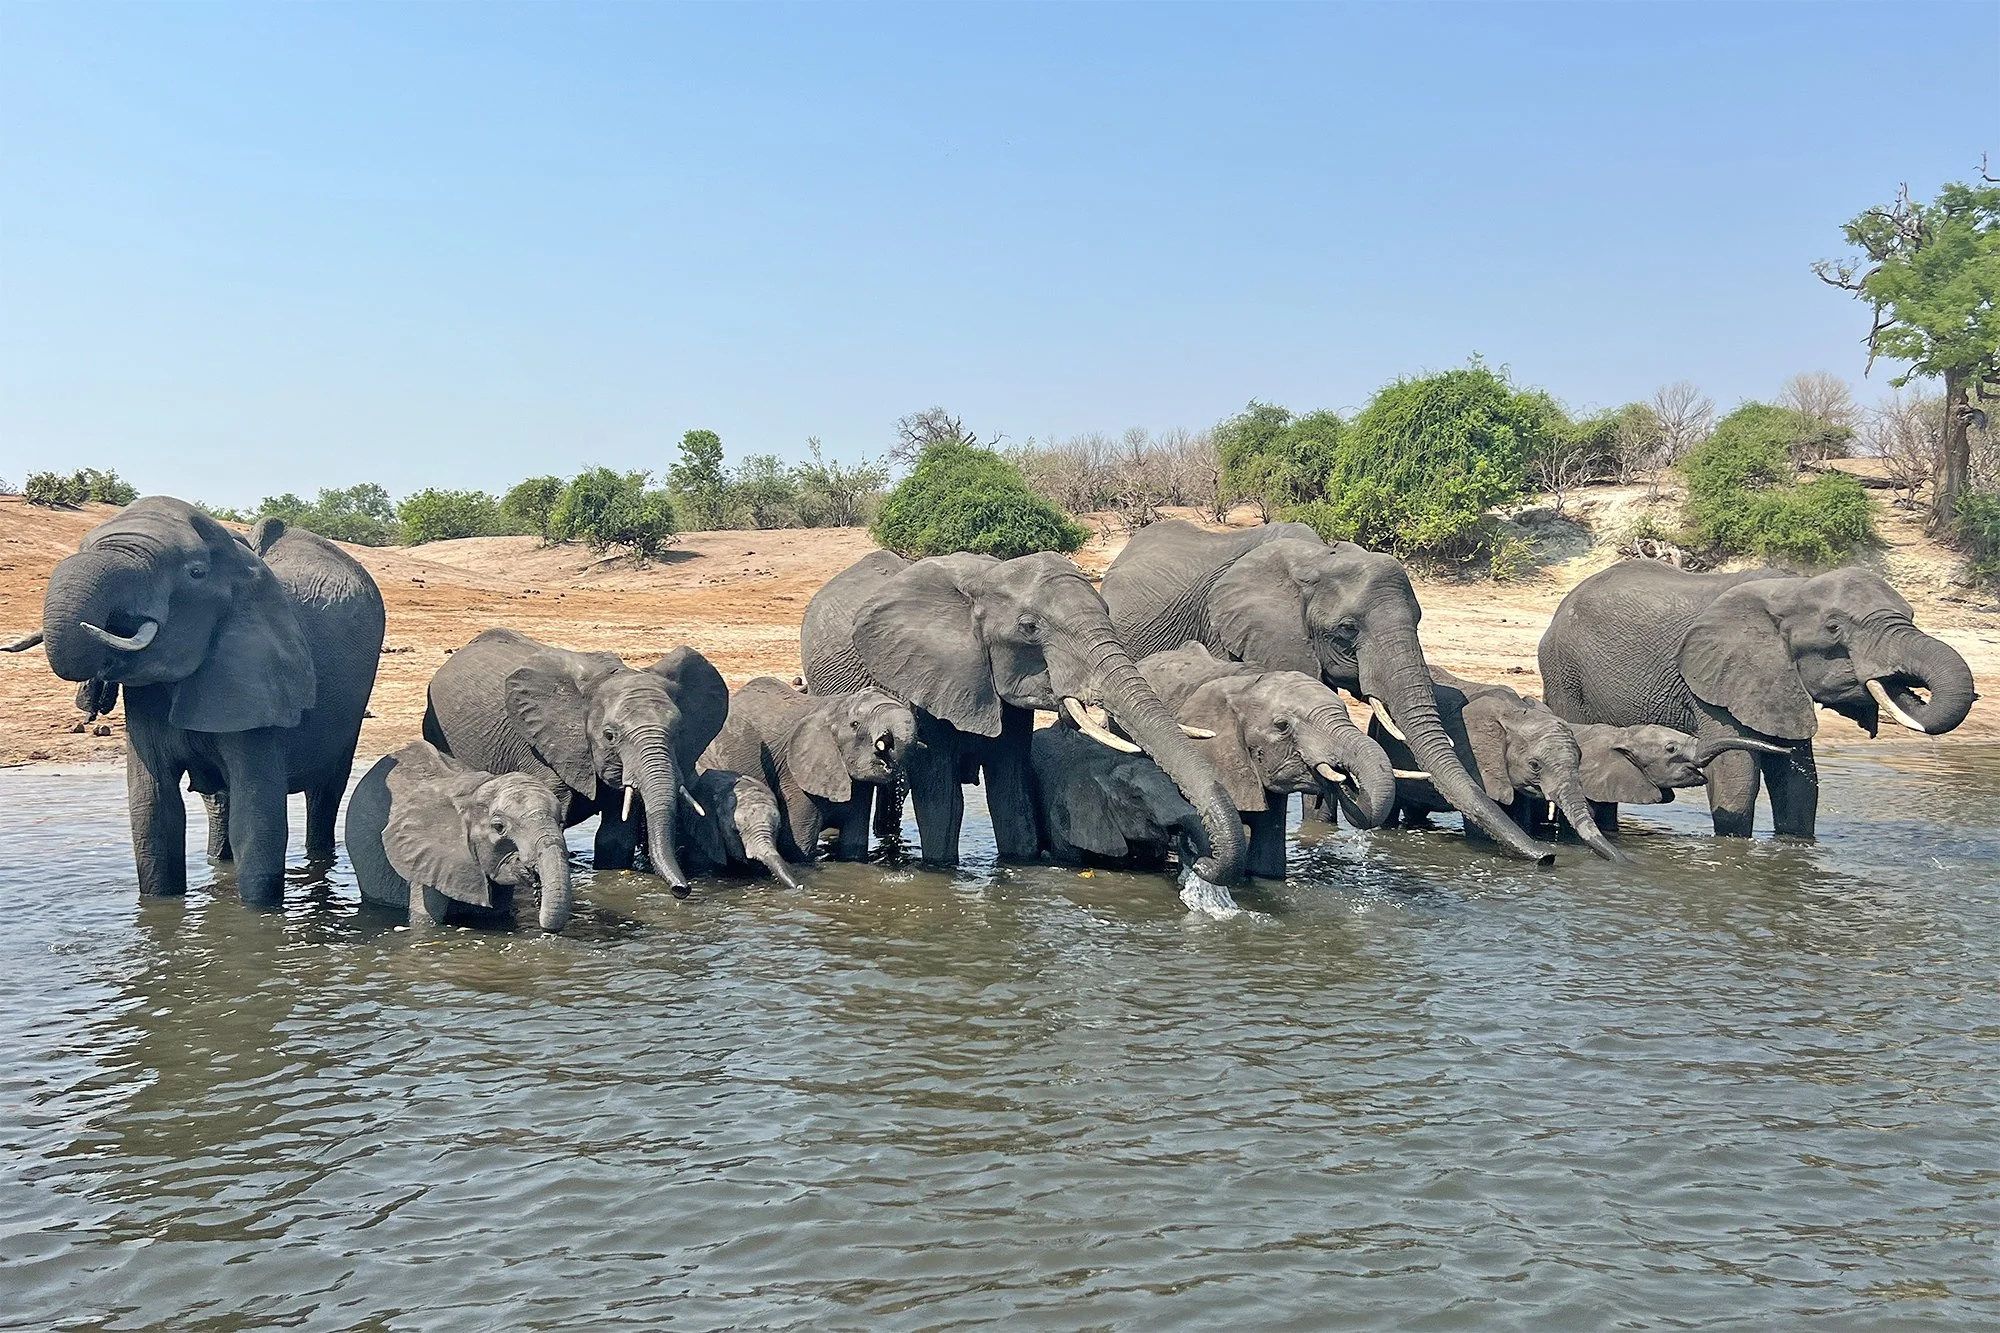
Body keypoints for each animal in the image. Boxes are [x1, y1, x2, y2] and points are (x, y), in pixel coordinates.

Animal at [3, 498, 384, 902]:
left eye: (196, 573)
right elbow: (154, 812)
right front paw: (159, 906)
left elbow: (257, 821)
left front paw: (257, 914)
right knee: (219, 803)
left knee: (325, 793)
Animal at [345, 741, 573, 930]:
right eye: (499, 827)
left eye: (561, 822)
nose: (537, 886)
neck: (473, 793)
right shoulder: (425, 859)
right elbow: (425, 920)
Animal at [700, 676, 916, 863]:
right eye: (855, 724)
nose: (885, 739)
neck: (835, 706)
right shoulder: (794, 774)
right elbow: (797, 847)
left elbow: (853, 846)